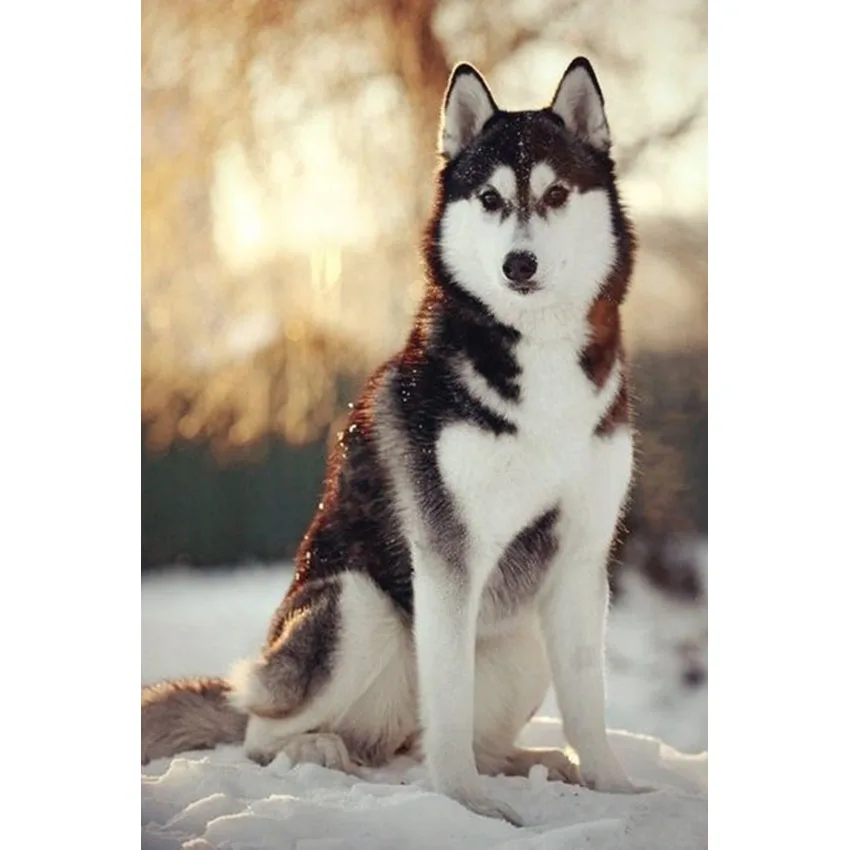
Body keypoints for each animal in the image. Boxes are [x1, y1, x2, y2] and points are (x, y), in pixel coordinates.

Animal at [142, 56, 643, 825]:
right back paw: (319, 749)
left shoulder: (585, 557)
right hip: (358, 607)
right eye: (491, 198)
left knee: (451, 737)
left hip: (523, 638)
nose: (518, 265)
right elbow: (450, 699)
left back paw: (532, 762)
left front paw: (615, 788)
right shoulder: (447, 554)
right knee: (262, 732)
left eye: (556, 193)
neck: (540, 357)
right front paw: (467, 805)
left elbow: (588, 701)